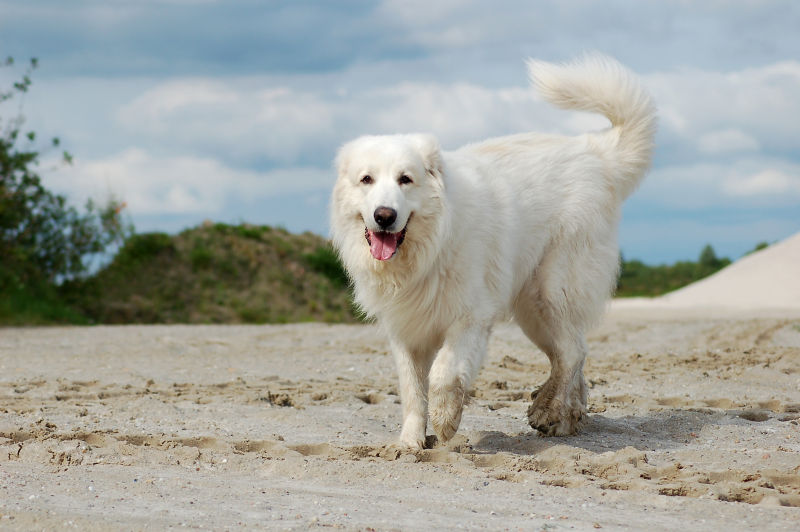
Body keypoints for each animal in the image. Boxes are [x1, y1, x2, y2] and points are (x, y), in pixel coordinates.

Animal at [328, 54, 652, 448]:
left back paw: (550, 411)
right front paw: (409, 442)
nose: (384, 216)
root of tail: (597, 152)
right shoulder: (406, 330)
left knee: (573, 352)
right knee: (569, 354)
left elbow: (443, 374)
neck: (429, 250)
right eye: (367, 180)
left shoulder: (470, 317)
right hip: (532, 311)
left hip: (552, 290)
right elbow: (412, 389)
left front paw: (446, 420)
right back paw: (563, 416)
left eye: (406, 179)